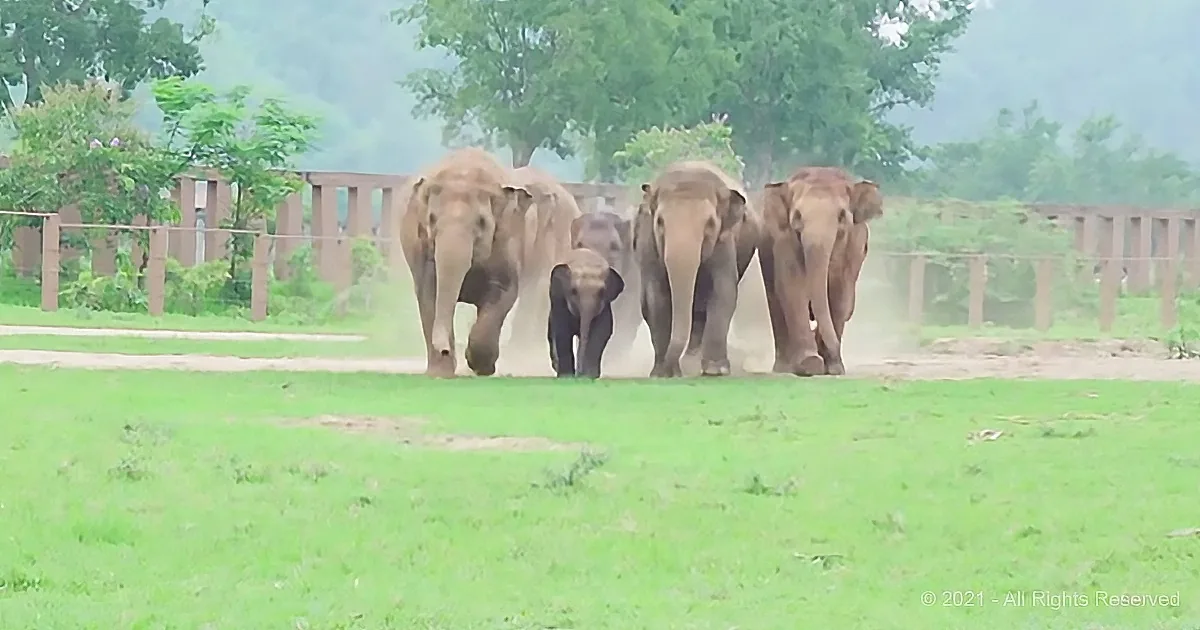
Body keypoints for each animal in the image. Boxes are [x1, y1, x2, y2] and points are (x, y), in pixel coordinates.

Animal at [398, 148, 534, 377]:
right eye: (431, 219)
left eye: (482, 222)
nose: (444, 348)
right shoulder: (423, 248)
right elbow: (429, 292)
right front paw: (440, 373)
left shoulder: (507, 243)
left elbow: (503, 291)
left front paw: (482, 367)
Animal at [547, 247, 626, 378]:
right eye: (573, 291)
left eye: (601, 292)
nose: (579, 373)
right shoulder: (559, 301)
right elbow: (562, 332)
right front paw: (566, 376)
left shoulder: (605, 307)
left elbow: (602, 331)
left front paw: (589, 376)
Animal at [632, 160, 757, 377]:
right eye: (660, 222)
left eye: (710, 224)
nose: (673, 369)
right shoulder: (647, 241)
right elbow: (656, 298)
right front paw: (661, 374)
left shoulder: (725, 241)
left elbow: (723, 291)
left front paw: (716, 371)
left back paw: (694, 359)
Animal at [759, 166, 883, 376]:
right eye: (797, 216)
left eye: (842, 216)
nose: (834, 350)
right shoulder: (784, 241)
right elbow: (793, 288)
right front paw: (810, 364)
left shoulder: (854, 246)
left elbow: (840, 295)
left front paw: (834, 368)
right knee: (775, 302)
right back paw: (784, 367)